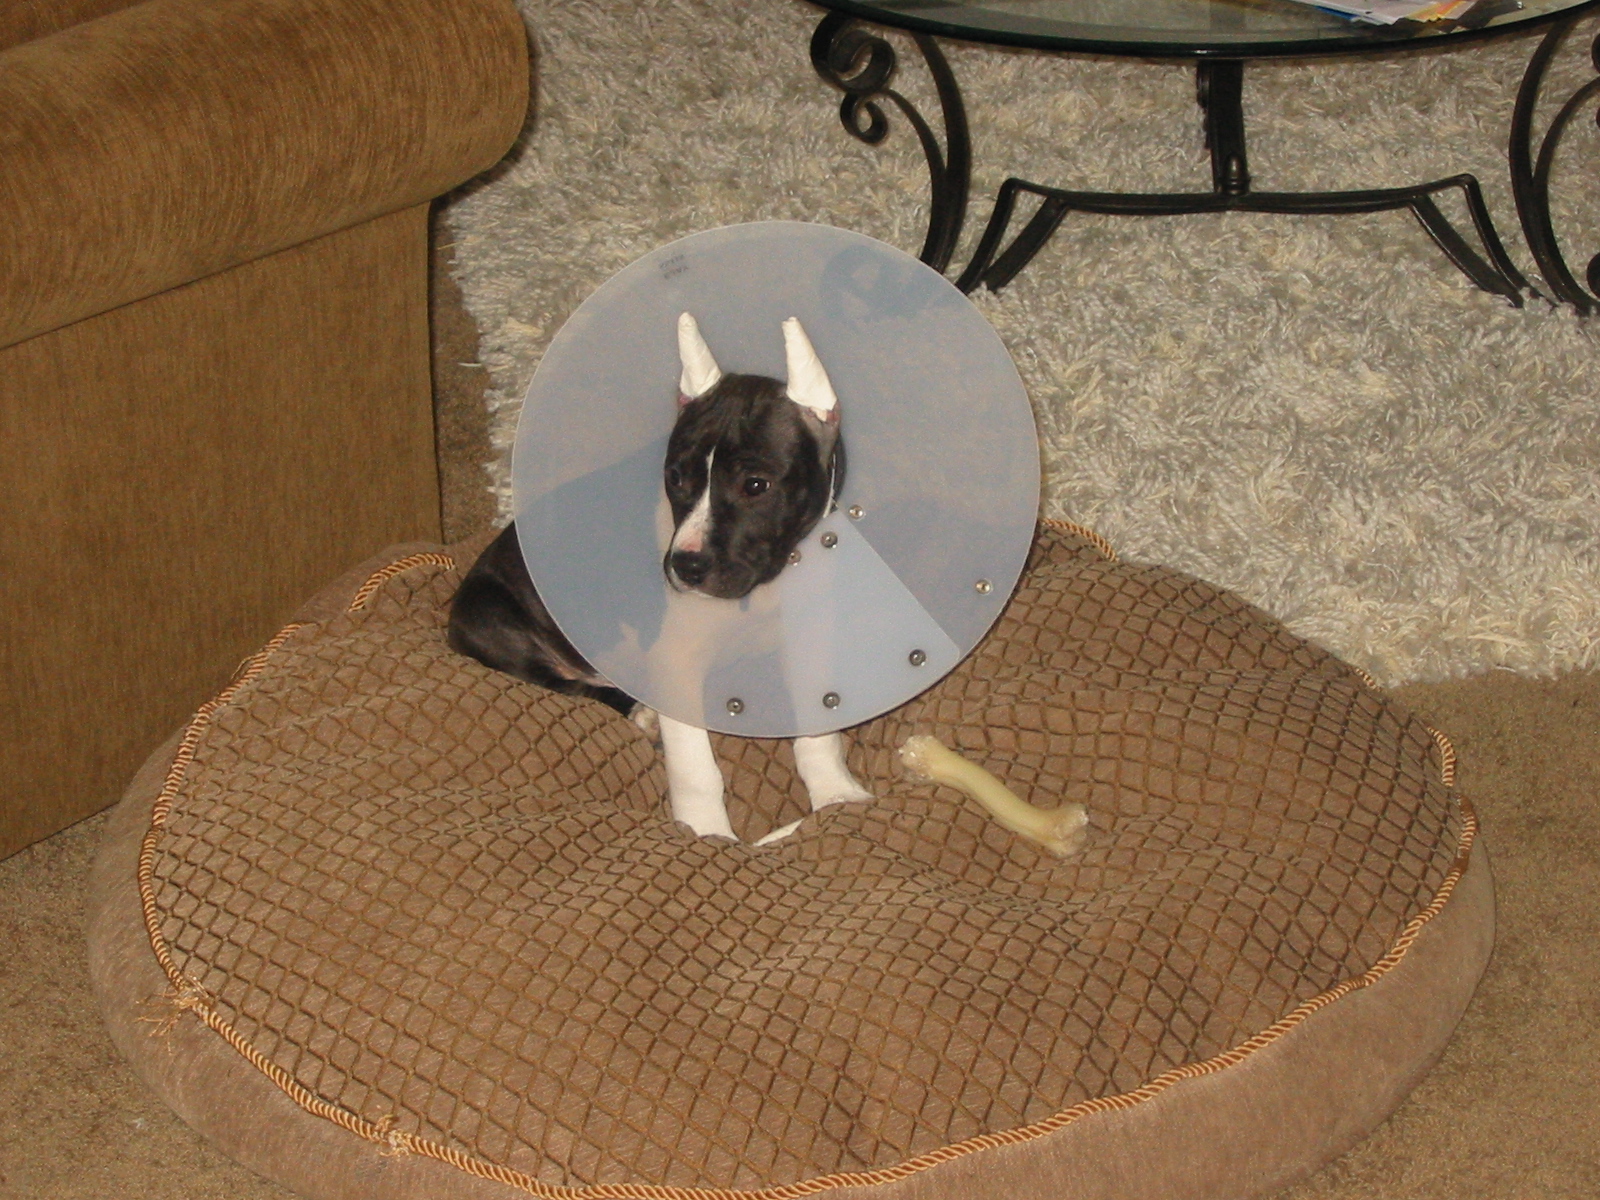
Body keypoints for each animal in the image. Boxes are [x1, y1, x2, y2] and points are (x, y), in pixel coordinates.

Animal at [449, 313, 872, 842]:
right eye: (674, 477)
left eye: (756, 485)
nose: (685, 566)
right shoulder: (675, 662)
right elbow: (696, 768)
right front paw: (706, 832)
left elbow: (820, 736)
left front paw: (836, 795)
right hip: (488, 615)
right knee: (562, 684)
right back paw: (639, 712)